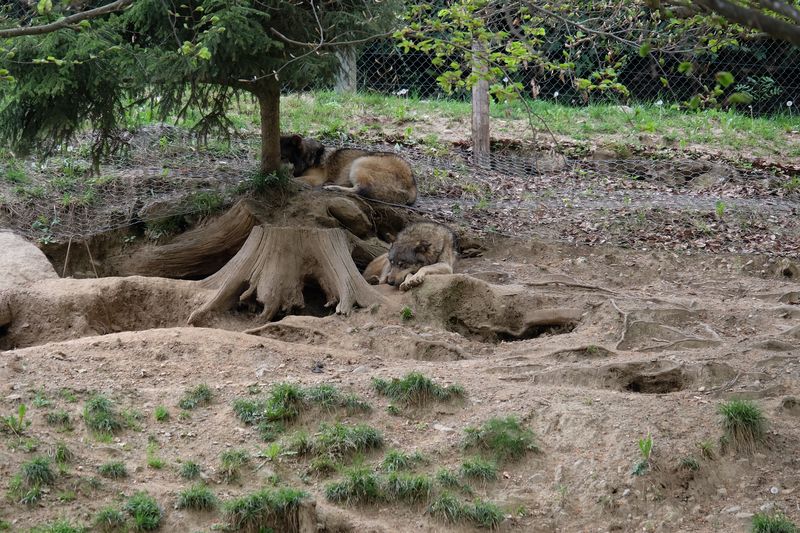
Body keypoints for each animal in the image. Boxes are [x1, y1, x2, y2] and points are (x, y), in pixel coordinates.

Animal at [279, 134, 418, 205]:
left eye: (281, 156)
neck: (311, 156)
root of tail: (412, 187)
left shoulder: (315, 178)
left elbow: (294, 180)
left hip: (359, 162)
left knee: (362, 189)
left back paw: (333, 187)